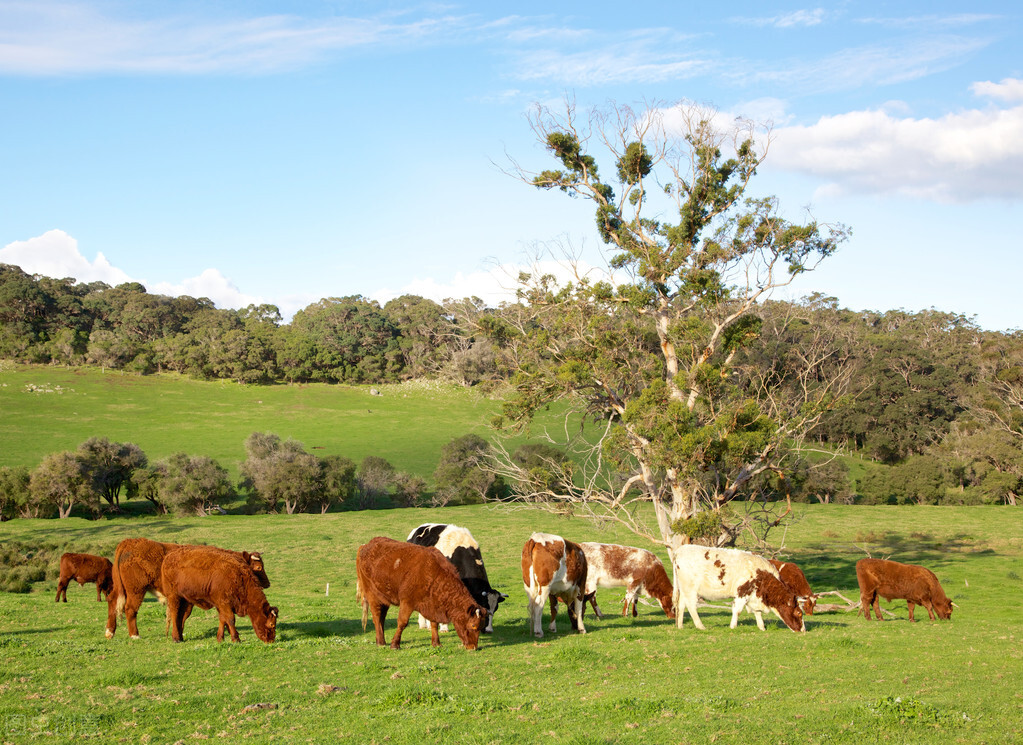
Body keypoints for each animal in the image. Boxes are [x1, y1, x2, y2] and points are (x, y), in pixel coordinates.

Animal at [105, 536, 270, 638]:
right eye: (258, 567)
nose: (267, 583)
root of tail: (130, 541)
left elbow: (182, 615)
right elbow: (182, 615)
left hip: (120, 589)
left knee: (112, 601)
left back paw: (110, 632)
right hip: (136, 590)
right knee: (130, 609)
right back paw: (134, 635)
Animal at [358, 536, 488, 650]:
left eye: (481, 626)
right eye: (473, 625)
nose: (473, 647)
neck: (432, 574)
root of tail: (366, 545)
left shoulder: (433, 605)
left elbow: (434, 624)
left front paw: (436, 643)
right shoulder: (407, 602)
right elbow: (402, 622)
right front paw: (395, 644)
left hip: (384, 598)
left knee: (382, 617)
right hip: (372, 594)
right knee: (376, 616)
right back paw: (380, 642)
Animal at [671, 544, 806, 630]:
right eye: (799, 613)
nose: (803, 630)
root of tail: (680, 550)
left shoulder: (754, 596)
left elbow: (757, 612)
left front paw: (762, 627)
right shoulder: (742, 592)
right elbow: (737, 610)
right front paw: (733, 626)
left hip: (684, 589)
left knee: (681, 605)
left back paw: (680, 626)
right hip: (690, 589)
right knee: (691, 606)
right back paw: (700, 626)